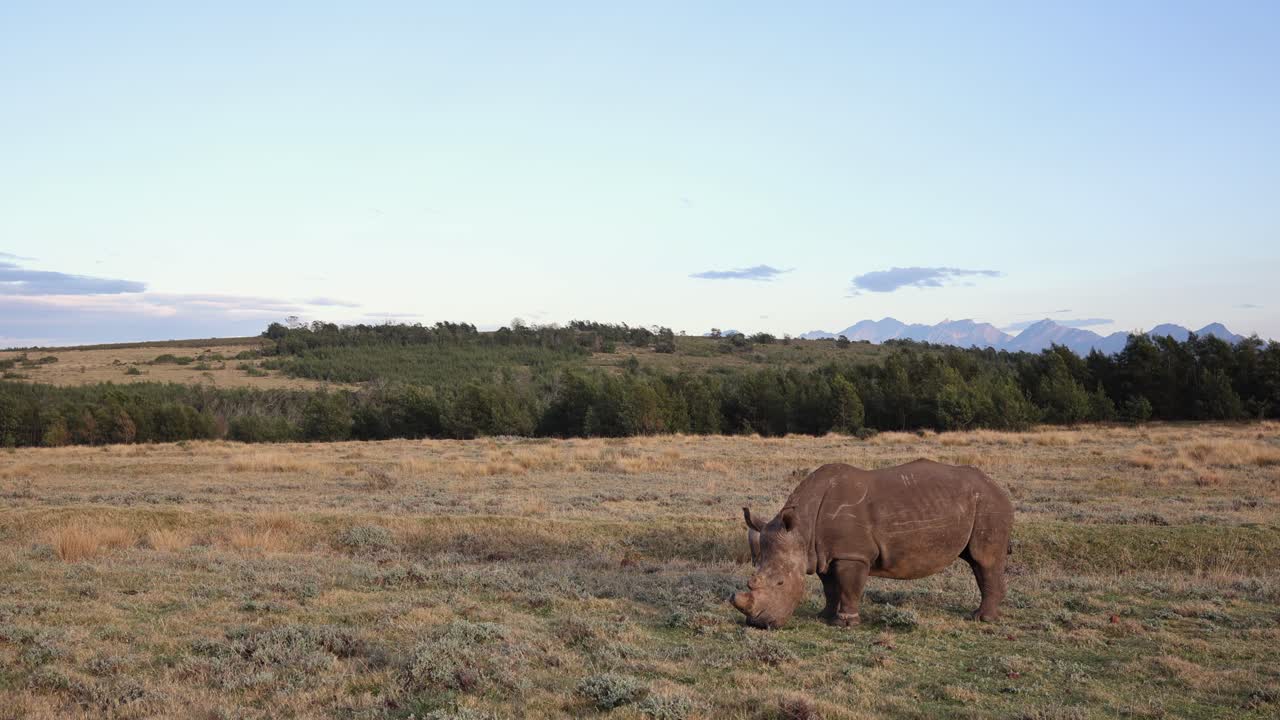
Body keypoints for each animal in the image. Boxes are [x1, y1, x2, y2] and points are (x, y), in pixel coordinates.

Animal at [731, 460, 1013, 629]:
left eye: (780, 583)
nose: (759, 624)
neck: (802, 529)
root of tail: (996, 485)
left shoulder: (852, 554)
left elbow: (848, 587)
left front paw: (846, 624)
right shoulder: (823, 553)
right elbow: (830, 587)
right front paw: (825, 617)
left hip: (988, 503)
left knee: (984, 559)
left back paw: (981, 619)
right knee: (976, 561)